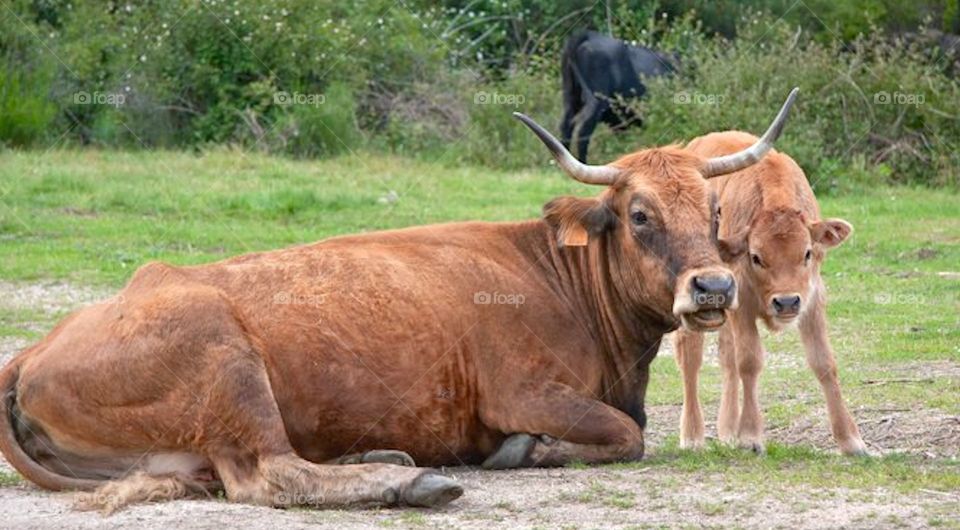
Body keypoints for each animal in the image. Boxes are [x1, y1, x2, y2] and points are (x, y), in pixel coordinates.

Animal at [0, 91, 797, 513]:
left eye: (713, 211)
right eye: (638, 215)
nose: (714, 288)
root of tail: (35, 348)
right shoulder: (524, 392)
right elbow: (626, 435)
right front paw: (527, 451)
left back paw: (381, 453)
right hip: (224, 357)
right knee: (268, 475)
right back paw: (413, 479)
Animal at [672, 122, 868, 456]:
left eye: (807, 253)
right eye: (756, 257)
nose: (786, 303)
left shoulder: (812, 300)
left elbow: (824, 363)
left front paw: (851, 440)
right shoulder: (742, 305)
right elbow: (749, 362)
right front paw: (750, 436)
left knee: (726, 358)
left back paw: (727, 430)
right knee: (691, 360)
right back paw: (693, 436)